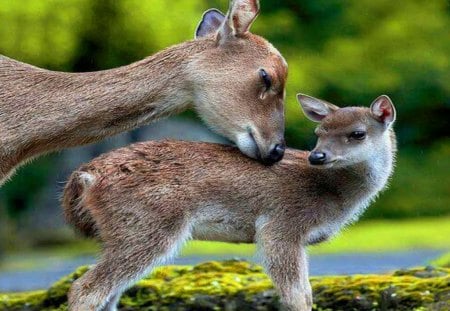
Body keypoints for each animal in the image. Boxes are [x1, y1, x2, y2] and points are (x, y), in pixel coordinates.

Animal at [61, 95, 396, 311]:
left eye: (358, 133)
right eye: (319, 132)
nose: (317, 156)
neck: (332, 195)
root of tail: (85, 176)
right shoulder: (281, 225)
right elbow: (297, 297)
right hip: (146, 225)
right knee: (85, 289)